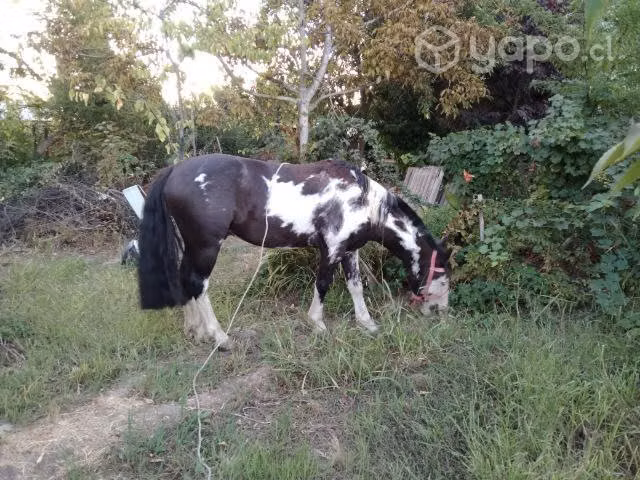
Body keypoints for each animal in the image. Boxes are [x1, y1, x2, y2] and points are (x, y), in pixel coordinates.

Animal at [137, 153, 450, 350]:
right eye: (444, 277)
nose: (441, 312)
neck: (363, 201)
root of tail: (174, 171)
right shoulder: (331, 250)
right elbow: (323, 285)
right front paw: (318, 325)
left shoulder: (350, 252)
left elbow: (356, 287)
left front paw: (367, 323)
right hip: (206, 247)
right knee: (197, 284)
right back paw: (220, 338)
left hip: (192, 247)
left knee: (183, 279)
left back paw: (195, 330)